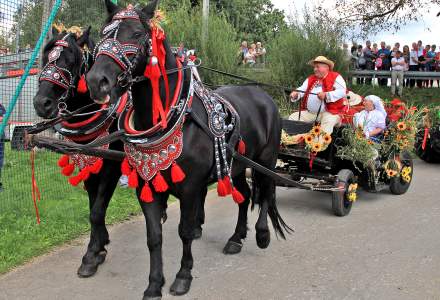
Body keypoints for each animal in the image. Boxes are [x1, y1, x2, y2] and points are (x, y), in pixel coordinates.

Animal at [32, 27, 124, 276]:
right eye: (46, 58)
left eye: (71, 60)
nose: (41, 103)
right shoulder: (90, 161)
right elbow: (94, 206)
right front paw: (100, 244)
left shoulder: (111, 165)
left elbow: (97, 210)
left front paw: (91, 255)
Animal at [87, 1, 290, 298]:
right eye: (103, 34)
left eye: (136, 33)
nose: (95, 80)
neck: (174, 120)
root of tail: (263, 95)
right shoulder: (147, 188)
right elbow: (154, 238)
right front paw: (154, 284)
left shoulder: (191, 188)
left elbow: (185, 231)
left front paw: (183, 276)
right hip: (236, 166)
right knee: (243, 196)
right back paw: (236, 238)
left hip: (266, 160)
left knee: (265, 193)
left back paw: (262, 235)